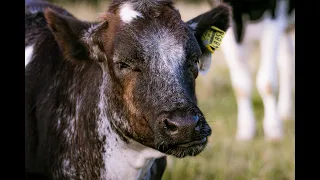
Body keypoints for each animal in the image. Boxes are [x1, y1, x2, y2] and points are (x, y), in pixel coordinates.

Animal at [208, 0, 296, 141]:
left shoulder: (273, 15)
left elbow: (267, 83)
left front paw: (273, 128)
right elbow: (241, 86)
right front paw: (246, 129)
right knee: (286, 61)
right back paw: (285, 111)